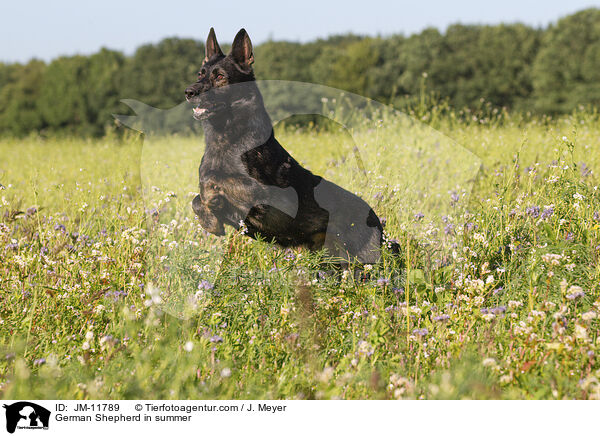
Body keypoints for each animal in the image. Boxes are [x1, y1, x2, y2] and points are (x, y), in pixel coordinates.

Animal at [185, 29, 396, 264]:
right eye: (200, 74)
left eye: (220, 76)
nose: (189, 92)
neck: (226, 139)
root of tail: (378, 222)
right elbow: (196, 198)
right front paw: (210, 220)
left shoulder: (268, 197)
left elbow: (213, 180)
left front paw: (211, 200)